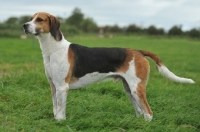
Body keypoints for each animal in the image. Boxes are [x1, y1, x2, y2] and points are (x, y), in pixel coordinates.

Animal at [22, 12, 195, 120]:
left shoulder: (62, 87)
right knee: (140, 111)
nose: (24, 25)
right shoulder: (53, 86)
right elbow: (55, 108)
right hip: (129, 89)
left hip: (136, 88)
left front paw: (60, 122)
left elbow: (60, 110)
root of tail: (139, 51)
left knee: (148, 112)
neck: (53, 49)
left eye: (40, 19)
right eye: (31, 18)